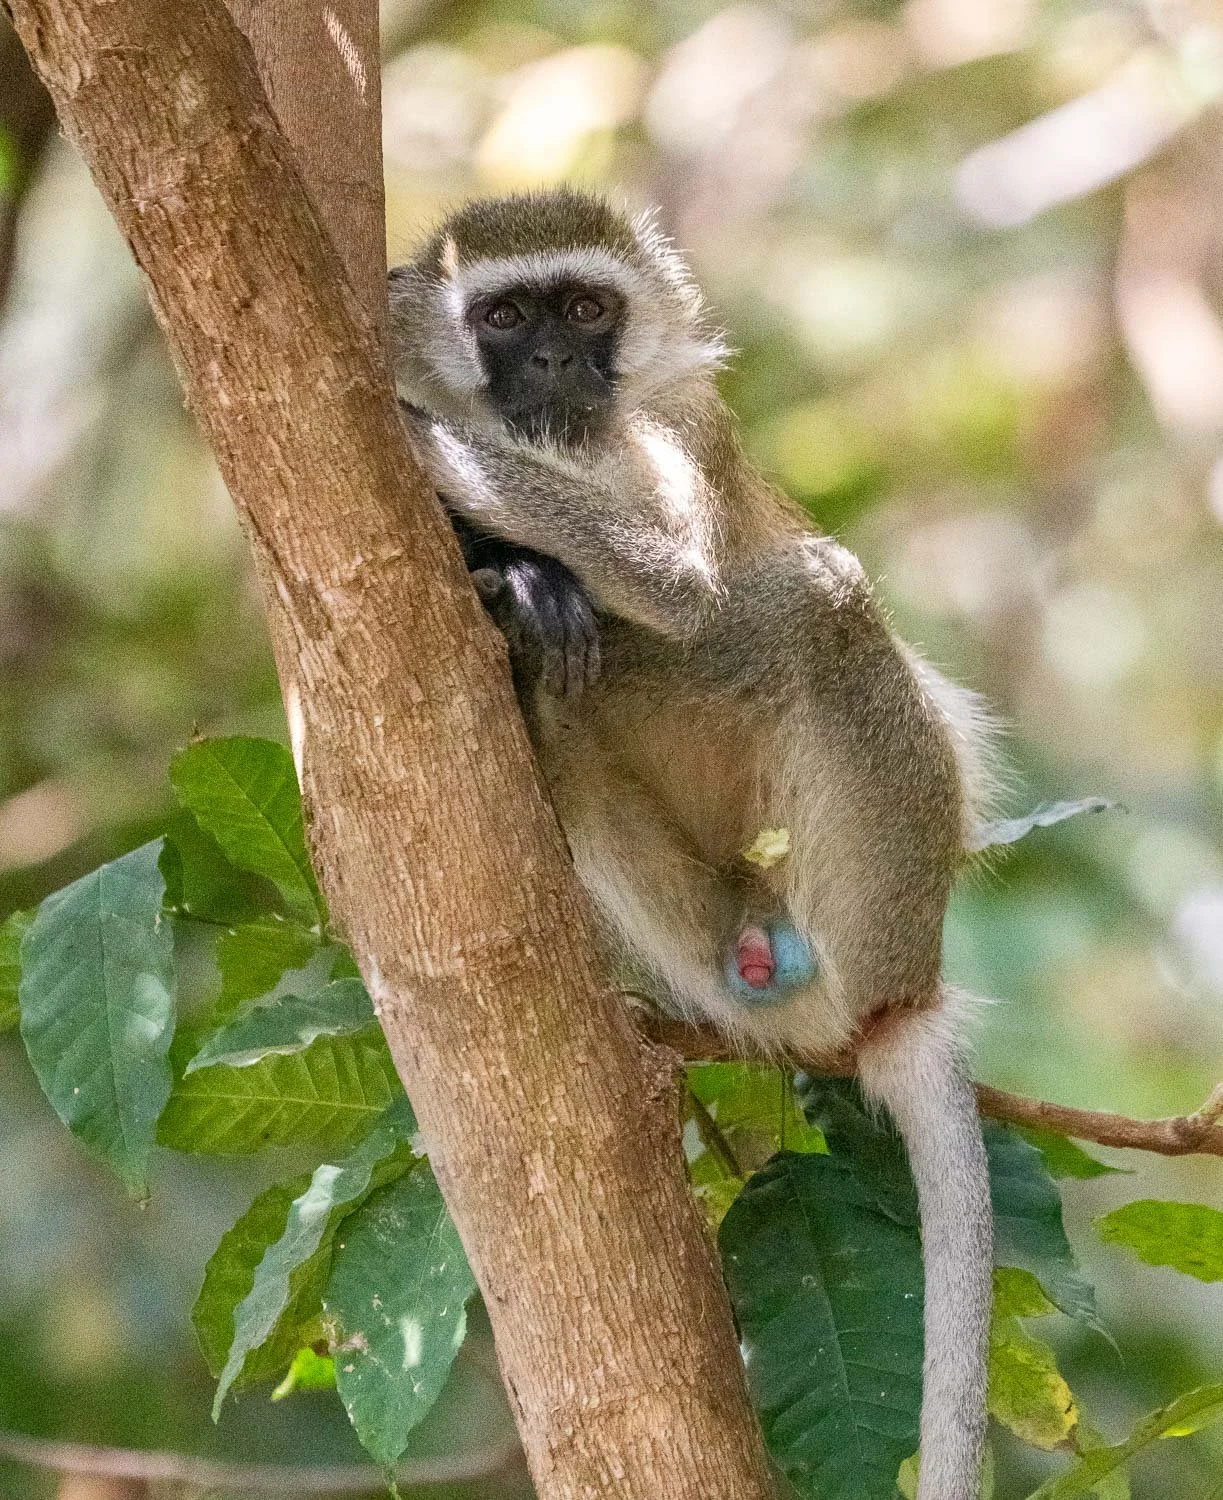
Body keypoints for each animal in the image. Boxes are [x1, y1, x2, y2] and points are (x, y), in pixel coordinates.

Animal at [388, 189, 996, 1500]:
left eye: (584, 309)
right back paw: (529, 636)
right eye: (503, 317)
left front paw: (433, 446)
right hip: (700, 930)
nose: (553, 366)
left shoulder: (676, 427)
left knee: (809, 598)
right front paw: (510, 567)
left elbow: (671, 580)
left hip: (851, 891)